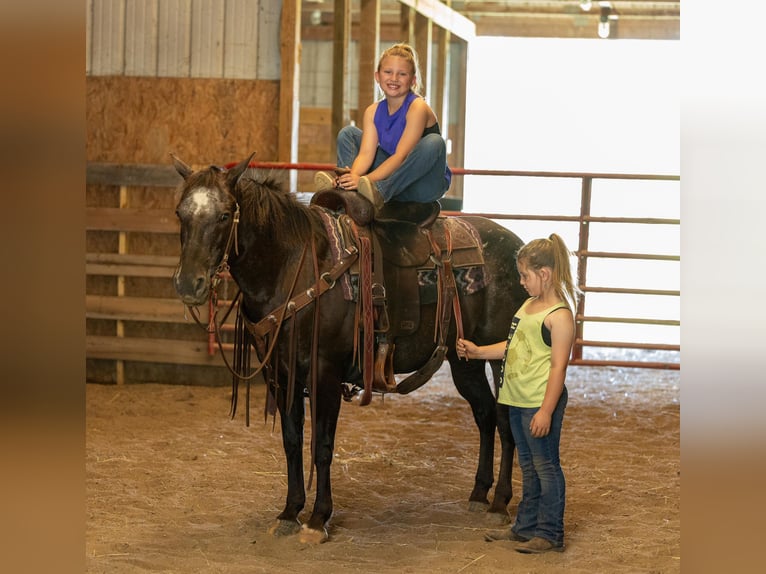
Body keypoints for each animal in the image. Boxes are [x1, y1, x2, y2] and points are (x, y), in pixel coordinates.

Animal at [171, 154, 528, 543]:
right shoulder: (280, 374)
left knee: (505, 419)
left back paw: (499, 503)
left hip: (498, 356)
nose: (189, 284)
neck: (295, 267)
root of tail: (516, 245)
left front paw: (317, 519)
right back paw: (480, 494)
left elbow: (322, 447)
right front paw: (289, 512)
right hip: (463, 358)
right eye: (180, 213)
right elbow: (292, 441)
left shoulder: (325, 372)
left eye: (224, 215)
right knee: (485, 414)